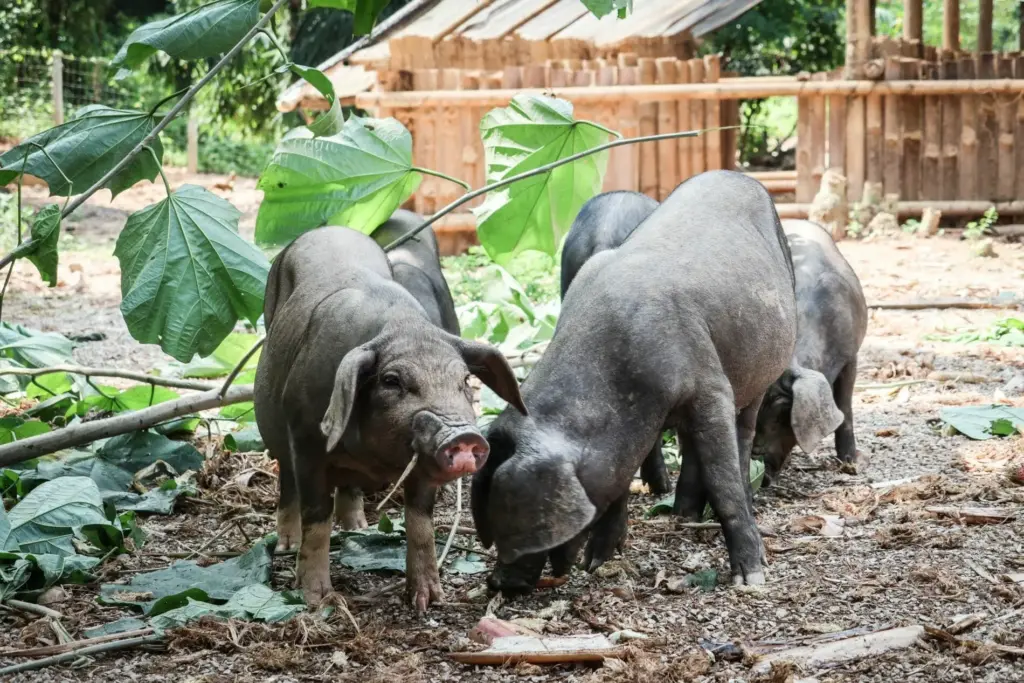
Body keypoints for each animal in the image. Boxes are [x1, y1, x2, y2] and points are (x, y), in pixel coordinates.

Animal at [254, 227, 526, 609]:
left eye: (463, 380)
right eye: (391, 381)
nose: (463, 436)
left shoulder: (423, 463)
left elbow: (421, 523)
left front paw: (429, 600)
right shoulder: (306, 439)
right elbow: (317, 518)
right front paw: (317, 600)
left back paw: (358, 528)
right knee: (287, 482)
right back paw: (285, 546)